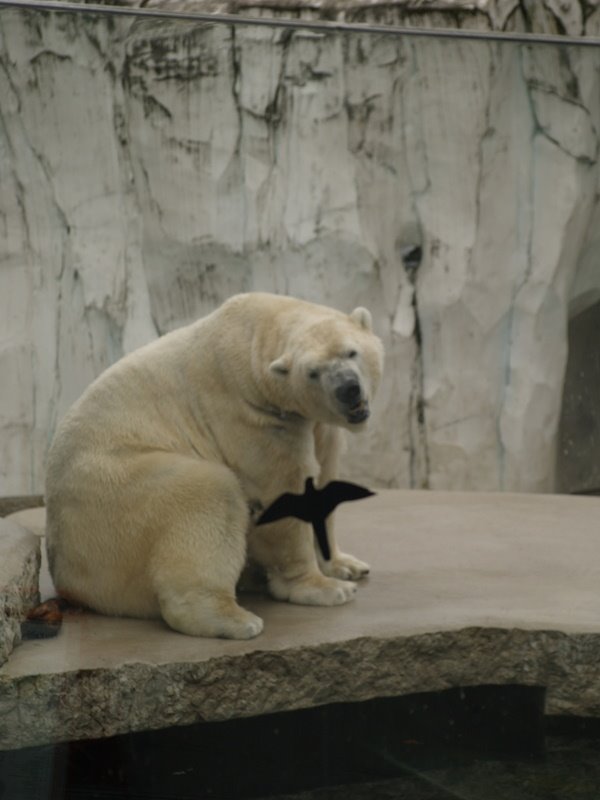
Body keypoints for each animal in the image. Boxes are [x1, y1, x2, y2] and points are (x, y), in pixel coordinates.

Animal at [45, 292, 384, 636]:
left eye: (351, 351)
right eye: (312, 372)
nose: (348, 388)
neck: (253, 336)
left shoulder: (315, 424)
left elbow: (322, 482)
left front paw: (346, 566)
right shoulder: (256, 418)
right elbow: (283, 494)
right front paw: (325, 588)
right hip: (116, 493)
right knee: (209, 492)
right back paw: (235, 619)